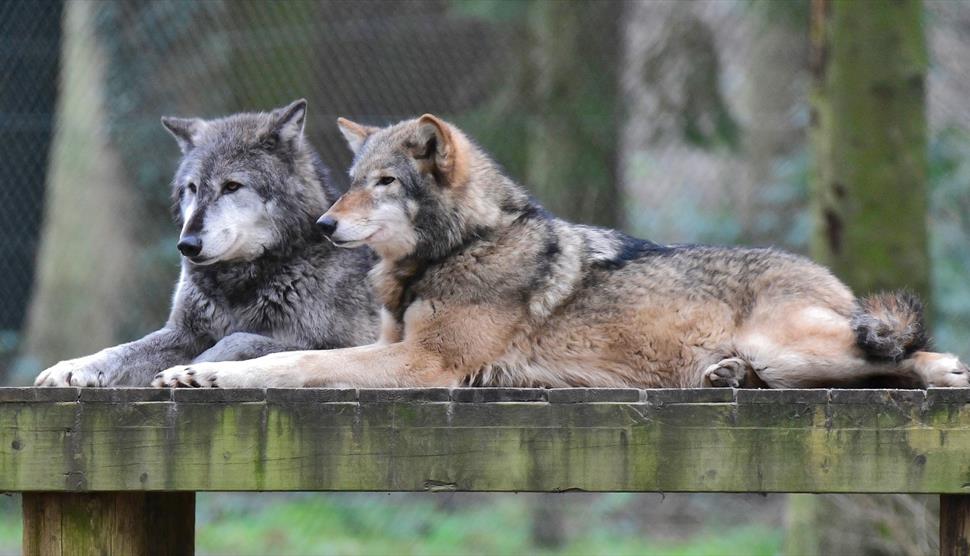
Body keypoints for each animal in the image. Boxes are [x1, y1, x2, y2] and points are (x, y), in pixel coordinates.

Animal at [34, 101, 376, 386]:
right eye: (192, 188)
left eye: (232, 186)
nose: (187, 244)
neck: (239, 284)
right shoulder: (182, 331)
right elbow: (123, 348)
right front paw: (73, 366)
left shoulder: (345, 344)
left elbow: (239, 340)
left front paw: (191, 370)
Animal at [151, 114, 968, 388]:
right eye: (351, 182)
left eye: (384, 183)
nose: (323, 225)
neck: (459, 250)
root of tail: (824, 273)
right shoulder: (391, 344)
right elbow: (293, 353)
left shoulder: (422, 363)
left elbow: (291, 360)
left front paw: (206, 374)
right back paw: (727, 376)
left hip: (803, 343)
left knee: (907, 353)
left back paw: (944, 372)